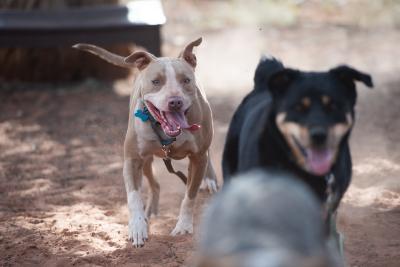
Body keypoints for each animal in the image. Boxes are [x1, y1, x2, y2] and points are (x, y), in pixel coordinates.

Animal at [75, 37, 219, 247]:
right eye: (156, 82)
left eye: (186, 80)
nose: (175, 101)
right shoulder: (132, 160)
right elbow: (134, 197)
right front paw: (137, 227)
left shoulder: (197, 158)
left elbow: (189, 196)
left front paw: (184, 226)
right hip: (146, 160)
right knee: (154, 183)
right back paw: (149, 213)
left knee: (205, 157)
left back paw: (209, 179)